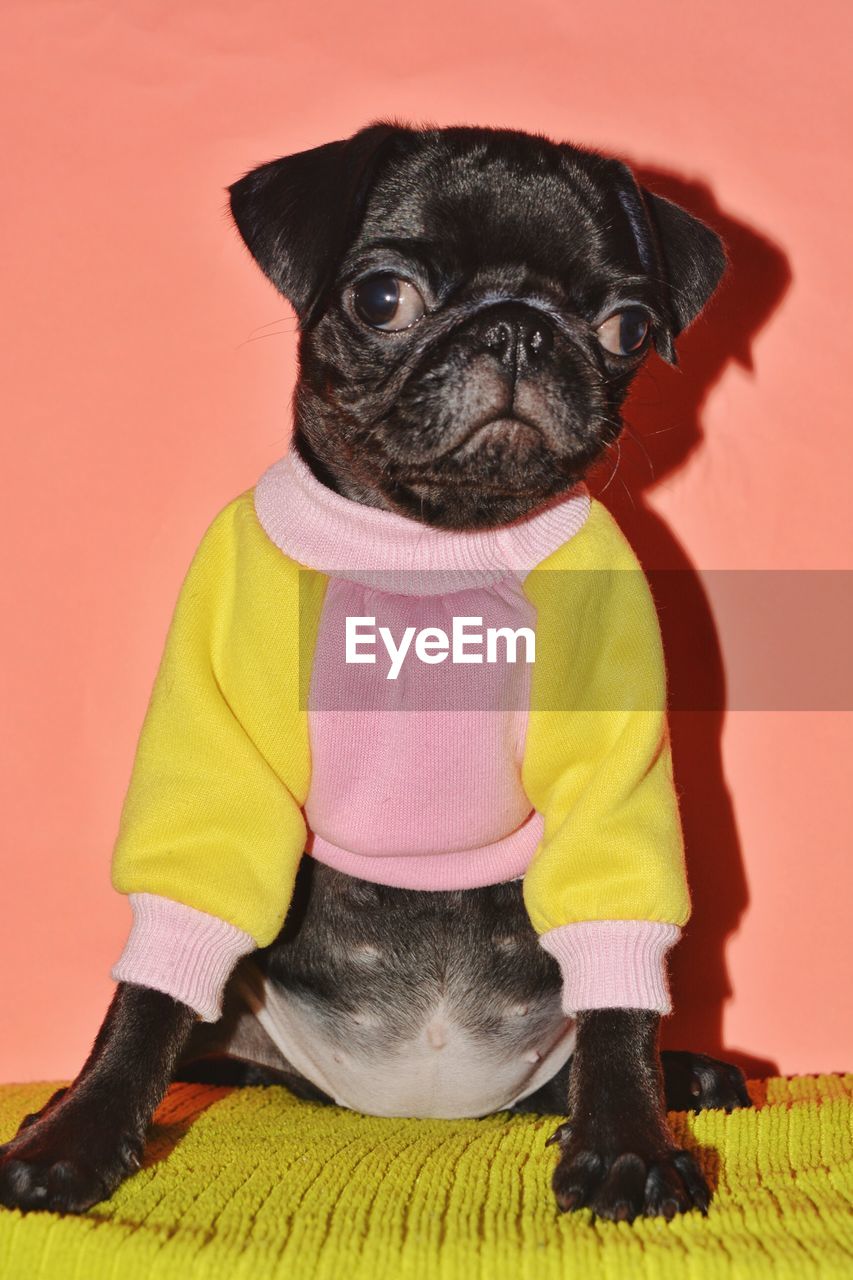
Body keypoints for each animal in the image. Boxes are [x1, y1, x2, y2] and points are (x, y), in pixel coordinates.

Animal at [0, 120, 742, 1218]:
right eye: (383, 298)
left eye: (624, 326)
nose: (517, 331)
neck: (429, 544)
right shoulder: (217, 749)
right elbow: (151, 990)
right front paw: (80, 1135)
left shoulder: (611, 770)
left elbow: (619, 997)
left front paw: (627, 1138)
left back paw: (681, 1075)